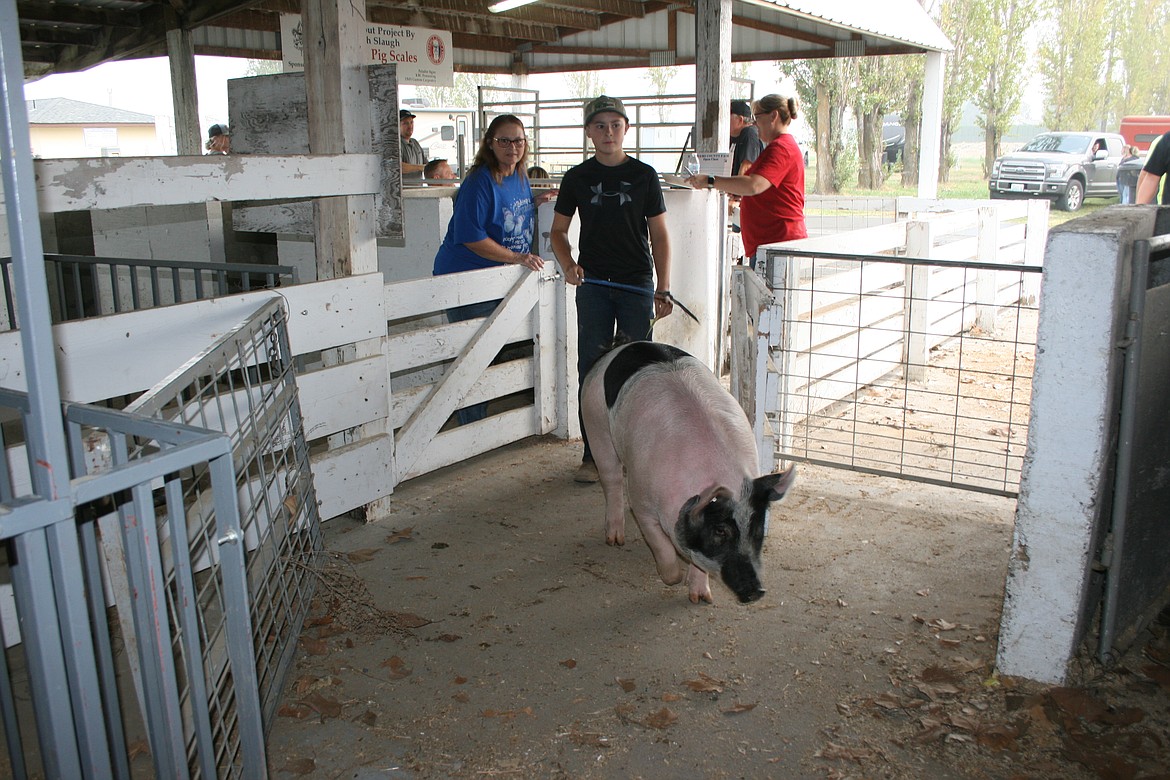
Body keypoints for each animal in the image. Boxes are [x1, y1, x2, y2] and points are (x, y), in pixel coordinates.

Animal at [577, 339, 795, 603]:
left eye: (757, 528)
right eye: (720, 530)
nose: (757, 591)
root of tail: (621, 347)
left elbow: (698, 559)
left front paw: (701, 599)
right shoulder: (641, 502)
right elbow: (660, 544)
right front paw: (673, 579)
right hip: (595, 421)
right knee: (612, 479)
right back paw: (615, 539)